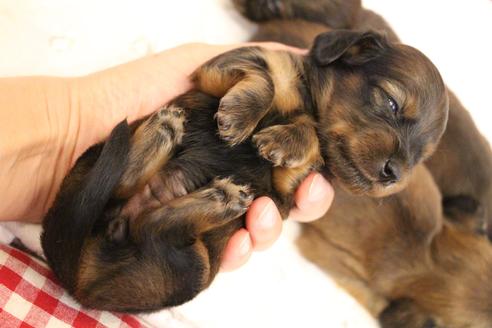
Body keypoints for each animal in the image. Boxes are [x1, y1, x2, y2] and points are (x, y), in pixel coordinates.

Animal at [40, 23, 448, 312]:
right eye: (391, 103)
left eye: (421, 157)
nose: (396, 174)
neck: (308, 103)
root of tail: (75, 280)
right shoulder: (223, 66)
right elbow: (266, 78)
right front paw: (240, 117)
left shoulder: (290, 188)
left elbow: (310, 140)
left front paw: (283, 141)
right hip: (97, 163)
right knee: (131, 201)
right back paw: (169, 137)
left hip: (190, 266)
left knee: (147, 223)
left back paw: (205, 183)